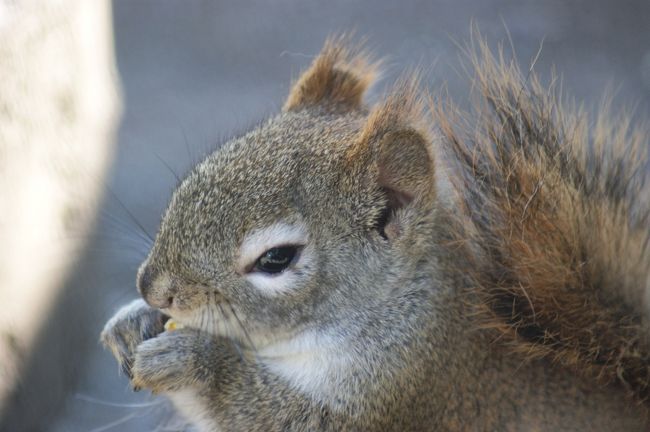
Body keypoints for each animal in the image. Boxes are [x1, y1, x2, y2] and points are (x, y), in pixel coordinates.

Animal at [98, 37, 644, 432]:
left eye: (275, 259)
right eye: (198, 174)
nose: (154, 288)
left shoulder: (397, 392)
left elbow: (279, 418)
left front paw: (196, 361)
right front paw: (132, 321)